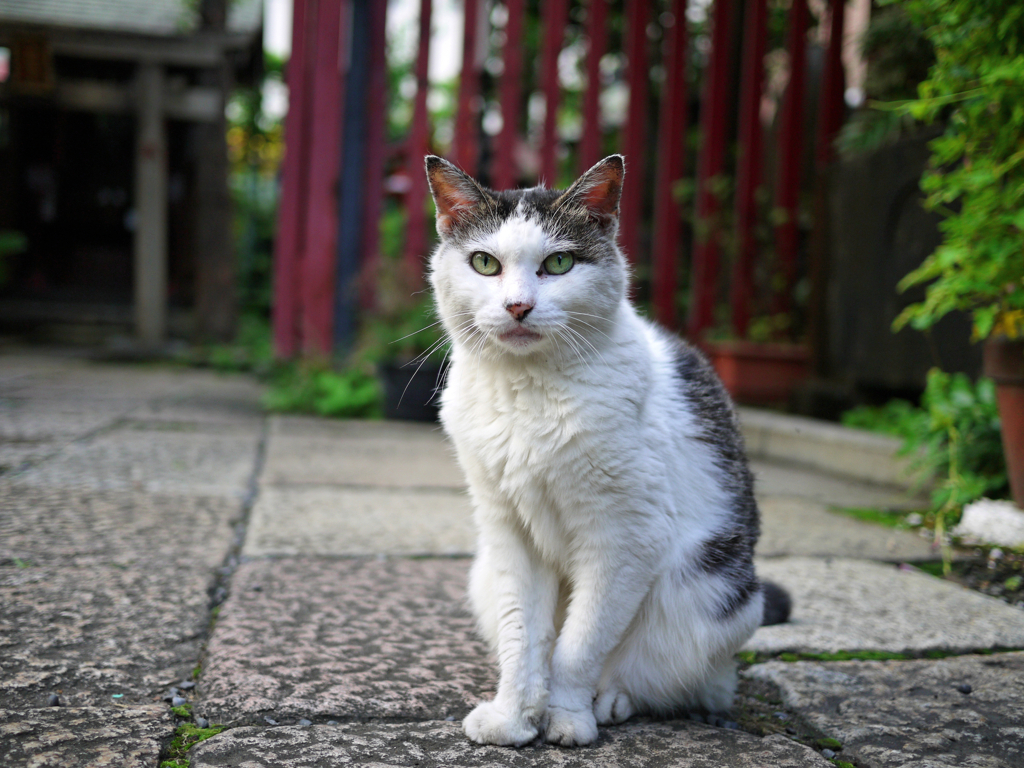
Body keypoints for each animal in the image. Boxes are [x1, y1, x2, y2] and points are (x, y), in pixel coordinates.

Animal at [419, 153, 786, 749]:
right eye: (484, 263)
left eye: (559, 262)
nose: (518, 306)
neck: (528, 393)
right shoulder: (509, 534)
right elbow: (524, 639)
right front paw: (514, 717)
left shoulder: (625, 537)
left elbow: (581, 644)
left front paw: (568, 717)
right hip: (484, 573)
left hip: (708, 595)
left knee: (682, 680)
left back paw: (612, 700)